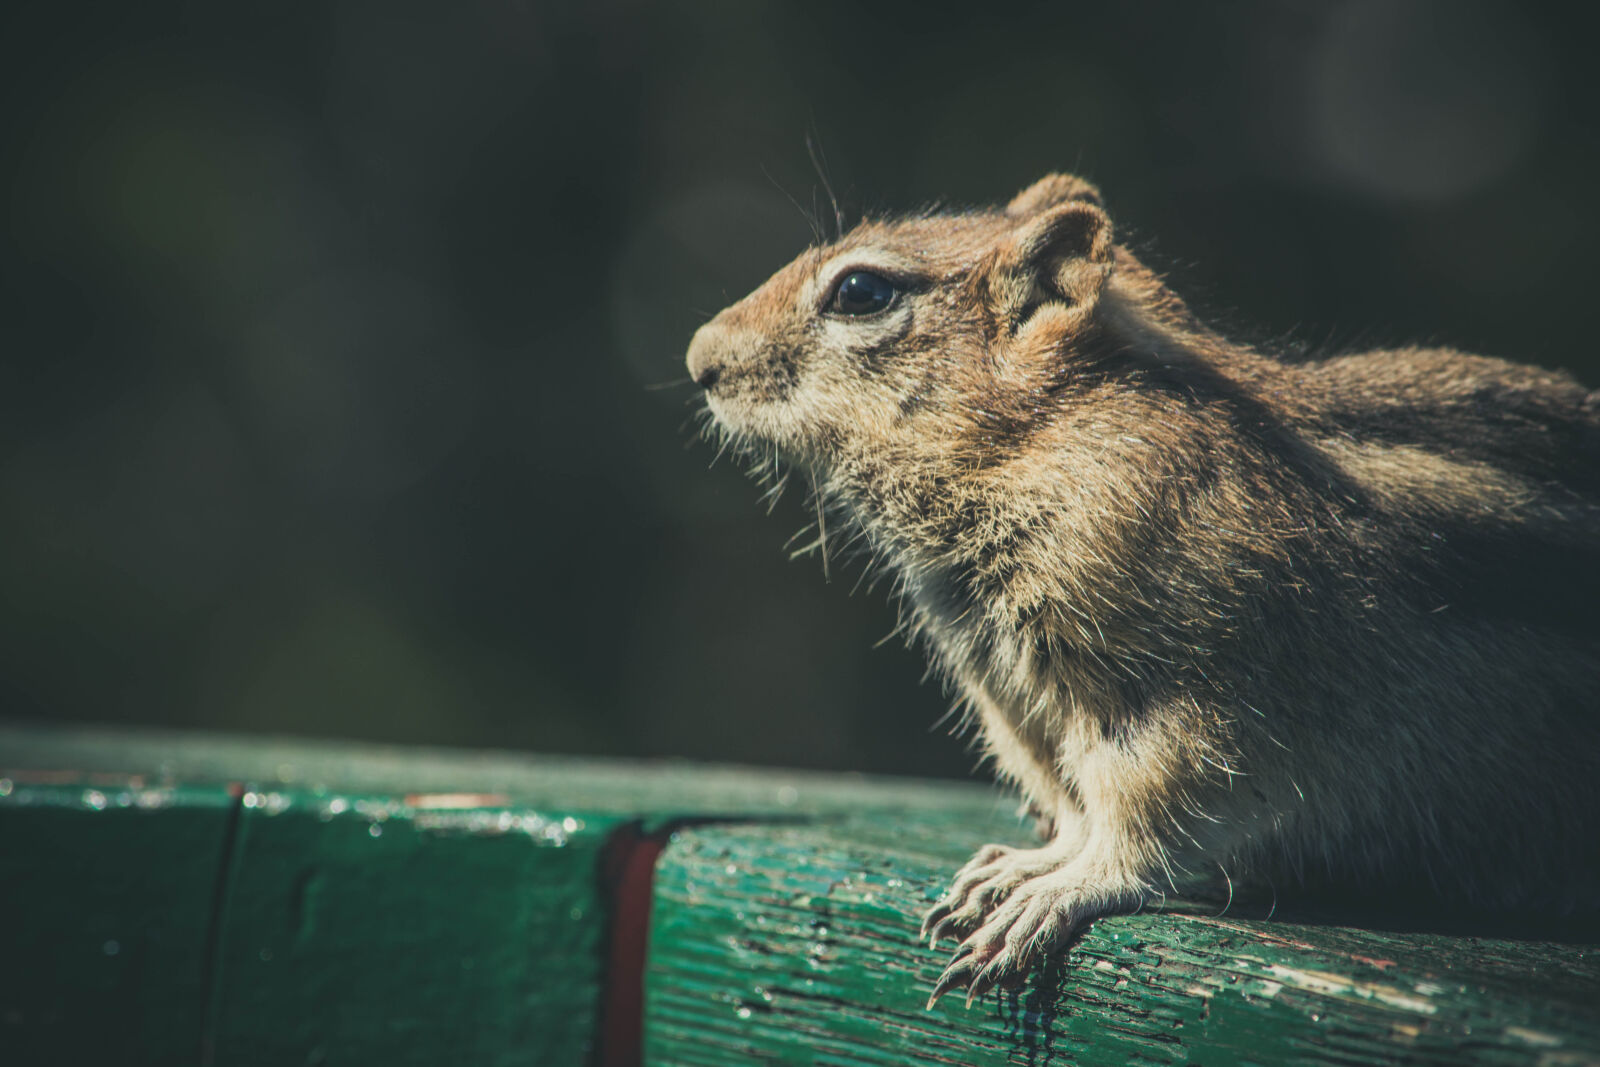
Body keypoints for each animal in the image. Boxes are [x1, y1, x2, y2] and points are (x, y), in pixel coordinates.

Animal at [684, 174, 1600, 1008]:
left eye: (860, 291)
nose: (699, 359)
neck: (1039, 438)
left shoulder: (1187, 701)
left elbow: (1145, 821)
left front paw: (1059, 890)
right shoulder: (1023, 706)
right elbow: (1076, 805)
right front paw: (1023, 864)